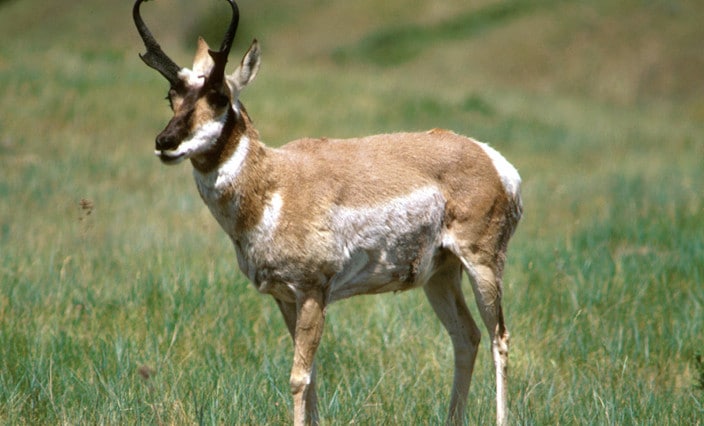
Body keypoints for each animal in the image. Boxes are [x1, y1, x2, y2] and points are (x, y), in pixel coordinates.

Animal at [133, 0, 524, 426]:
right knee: (466, 337)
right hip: (439, 274)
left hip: (483, 264)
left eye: (219, 95)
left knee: (499, 339)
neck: (274, 183)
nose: (165, 142)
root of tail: (491, 158)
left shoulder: (312, 292)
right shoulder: (285, 299)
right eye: (171, 96)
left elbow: (298, 377)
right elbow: (313, 375)